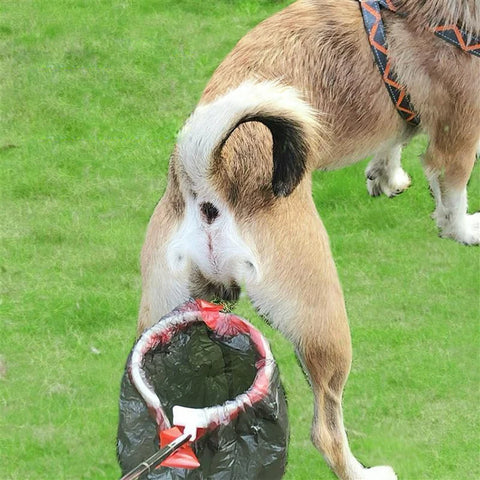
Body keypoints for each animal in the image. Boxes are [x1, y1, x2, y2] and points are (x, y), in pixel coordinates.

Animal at [136, 1, 480, 478]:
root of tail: (209, 173)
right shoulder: (460, 134)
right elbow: (453, 194)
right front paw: (465, 231)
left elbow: (391, 144)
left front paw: (386, 177)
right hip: (324, 324)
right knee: (326, 429)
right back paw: (364, 473)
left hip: (164, 326)